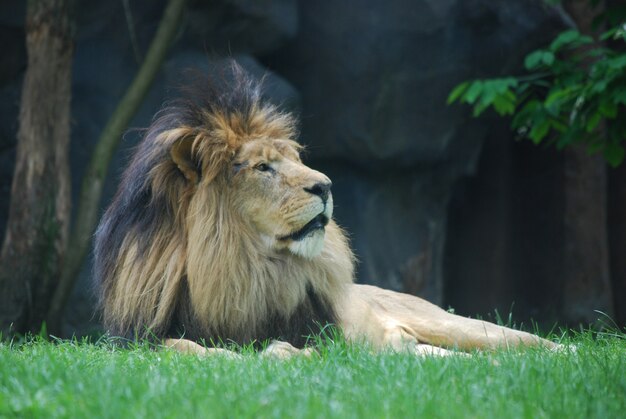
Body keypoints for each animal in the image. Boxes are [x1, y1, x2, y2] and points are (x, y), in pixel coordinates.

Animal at [94, 62, 556, 358]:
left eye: (294, 159)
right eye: (263, 167)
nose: (326, 185)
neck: (242, 265)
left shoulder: (325, 337)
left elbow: (290, 351)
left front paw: (277, 355)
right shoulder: (133, 341)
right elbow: (180, 348)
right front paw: (227, 357)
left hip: (457, 326)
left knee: (530, 343)